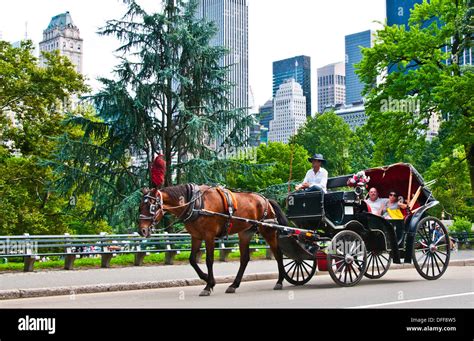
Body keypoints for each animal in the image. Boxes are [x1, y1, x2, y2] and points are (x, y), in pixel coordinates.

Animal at [138, 183, 288, 294]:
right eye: (140, 207)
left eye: (151, 206)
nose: (142, 230)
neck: (196, 203)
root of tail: (266, 200)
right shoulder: (196, 237)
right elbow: (192, 260)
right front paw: (206, 278)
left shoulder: (209, 236)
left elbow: (209, 260)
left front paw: (209, 285)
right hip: (245, 233)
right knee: (245, 259)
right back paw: (234, 285)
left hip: (268, 231)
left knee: (278, 254)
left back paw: (280, 281)